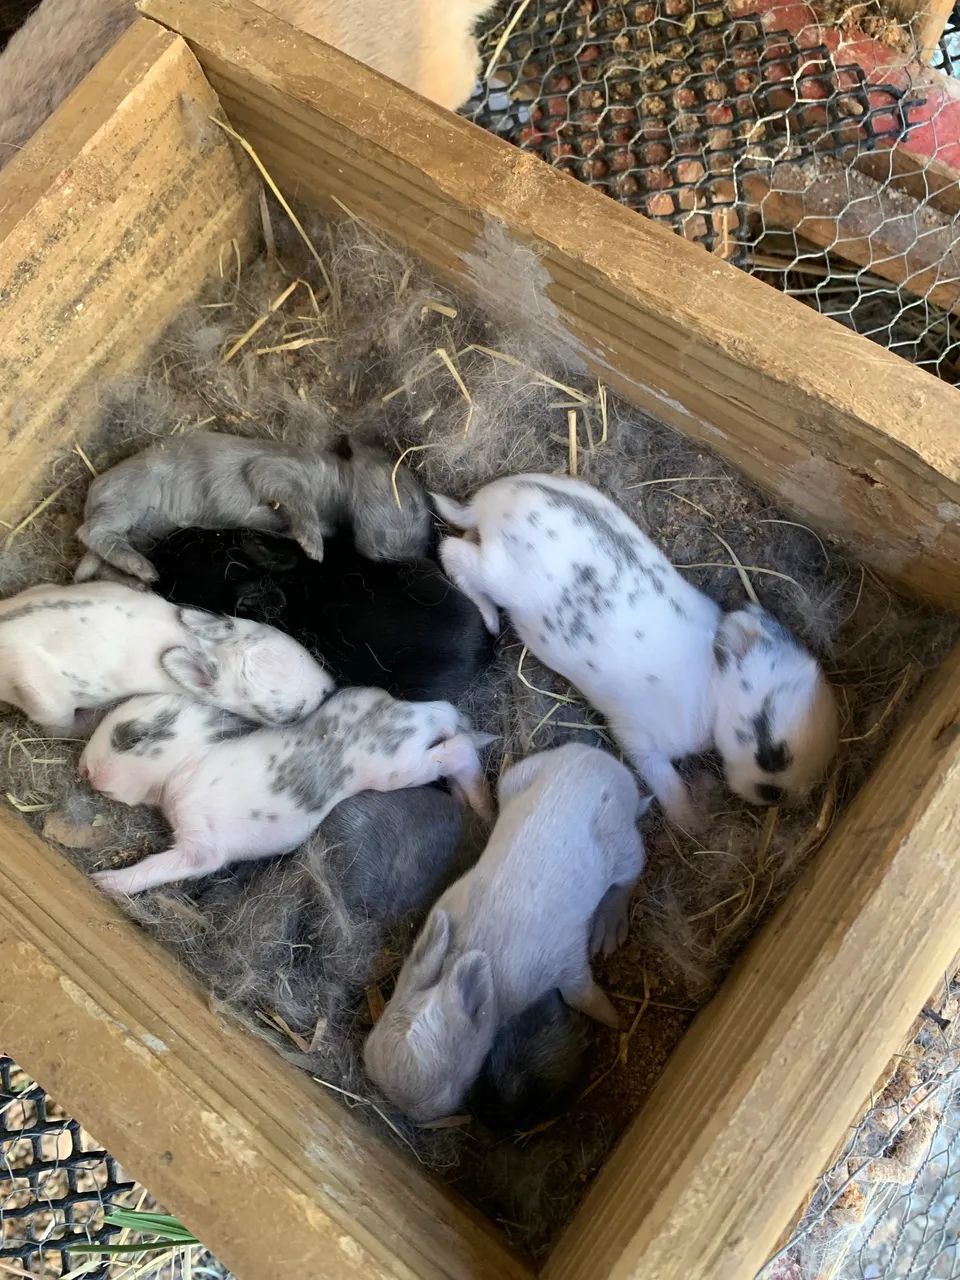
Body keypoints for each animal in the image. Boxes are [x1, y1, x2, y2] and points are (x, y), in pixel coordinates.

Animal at [73, 432, 431, 585]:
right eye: (413, 501)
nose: (411, 558)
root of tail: (92, 495)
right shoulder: (277, 470)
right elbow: (297, 501)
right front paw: (313, 548)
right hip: (128, 498)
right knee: (92, 533)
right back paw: (142, 568)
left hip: (143, 531)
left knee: (100, 562)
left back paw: (138, 577)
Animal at [81, 686, 495, 895]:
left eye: (134, 737)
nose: (84, 768)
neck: (188, 763)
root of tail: (412, 717)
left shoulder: (201, 847)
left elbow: (160, 866)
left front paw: (107, 881)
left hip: (399, 769)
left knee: (459, 749)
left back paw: (483, 805)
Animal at [362, 742, 648, 1122]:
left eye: (454, 1084)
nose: (408, 1109)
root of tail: (599, 759)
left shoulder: (565, 961)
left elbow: (582, 994)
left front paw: (614, 1020)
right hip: (516, 779)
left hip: (622, 842)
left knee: (630, 875)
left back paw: (609, 931)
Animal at [434, 473, 839, 830]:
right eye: (769, 751)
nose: (781, 798)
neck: (713, 689)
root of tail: (489, 500)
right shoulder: (640, 739)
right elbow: (667, 784)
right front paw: (692, 822)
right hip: (499, 575)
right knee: (451, 551)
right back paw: (489, 619)